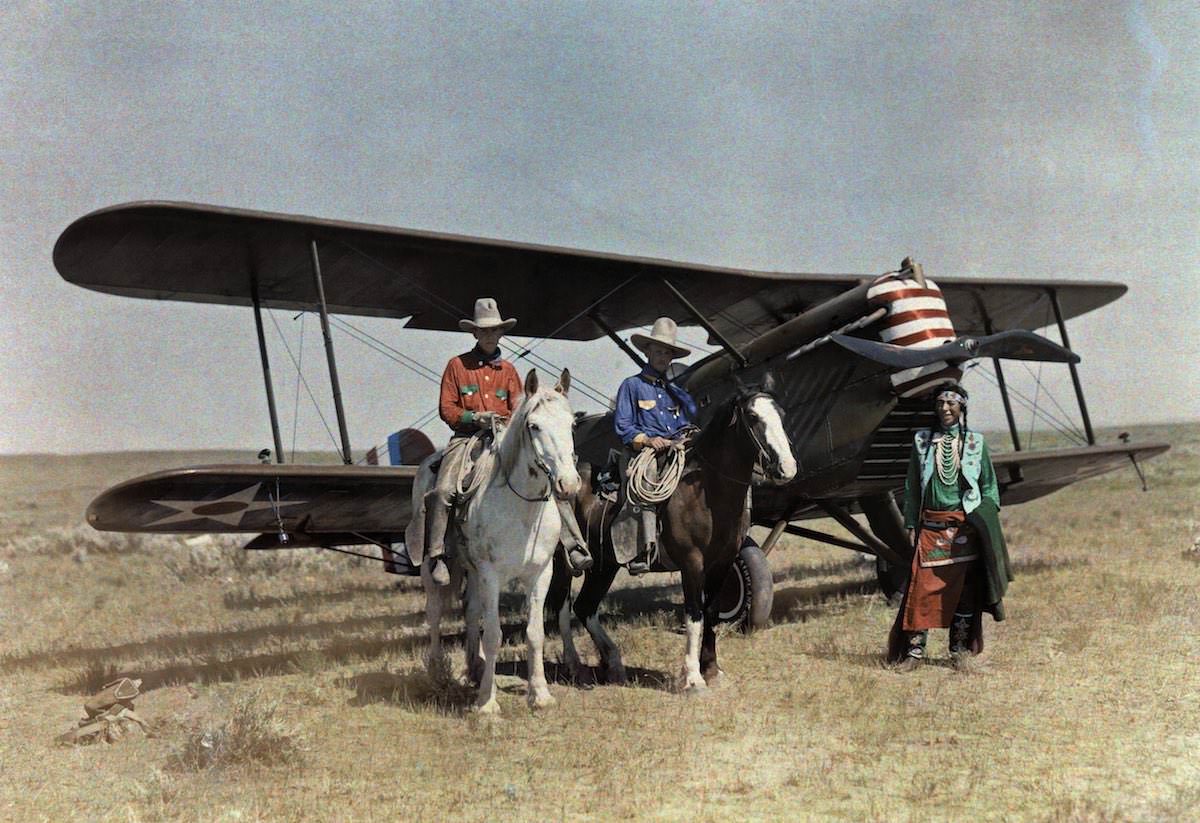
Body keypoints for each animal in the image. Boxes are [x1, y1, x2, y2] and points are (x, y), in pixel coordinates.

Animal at [415, 369, 578, 715]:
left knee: (471, 609)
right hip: (433, 568)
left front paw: (539, 694)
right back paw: (437, 671)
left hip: (473, 572)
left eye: (571, 424)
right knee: (435, 610)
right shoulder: (491, 574)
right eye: (534, 425)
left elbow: (534, 633)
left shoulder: (539, 574)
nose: (568, 484)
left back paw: (474, 667)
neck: (521, 509)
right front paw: (487, 704)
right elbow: (493, 634)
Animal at [547, 383, 796, 691]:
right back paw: (575, 666)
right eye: (752, 416)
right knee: (562, 607)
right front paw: (693, 677)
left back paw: (613, 663)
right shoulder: (691, 563)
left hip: (604, 566)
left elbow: (711, 612)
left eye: (781, 413)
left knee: (585, 607)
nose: (787, 468)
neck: (706, 493)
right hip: (566, 561)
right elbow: (694, 614)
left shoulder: (722, 563)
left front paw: (712, 669)